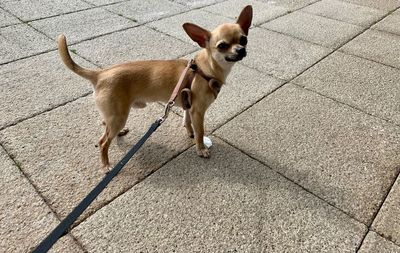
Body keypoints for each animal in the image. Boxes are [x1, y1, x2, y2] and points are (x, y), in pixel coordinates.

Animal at [57, 5, 252, 172]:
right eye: (222, 46)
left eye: (244, 39)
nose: (241, 50)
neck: (206, 69)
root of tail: (100, 74)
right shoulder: (198, 111)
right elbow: (200, 131)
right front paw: (201, 148)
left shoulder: (189, 107)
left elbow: (187, 122)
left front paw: (190, 133)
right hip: (119, 116)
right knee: (103, 142)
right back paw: (106, 165)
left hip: (114, 115)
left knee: (106, 125)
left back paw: (119, 133)